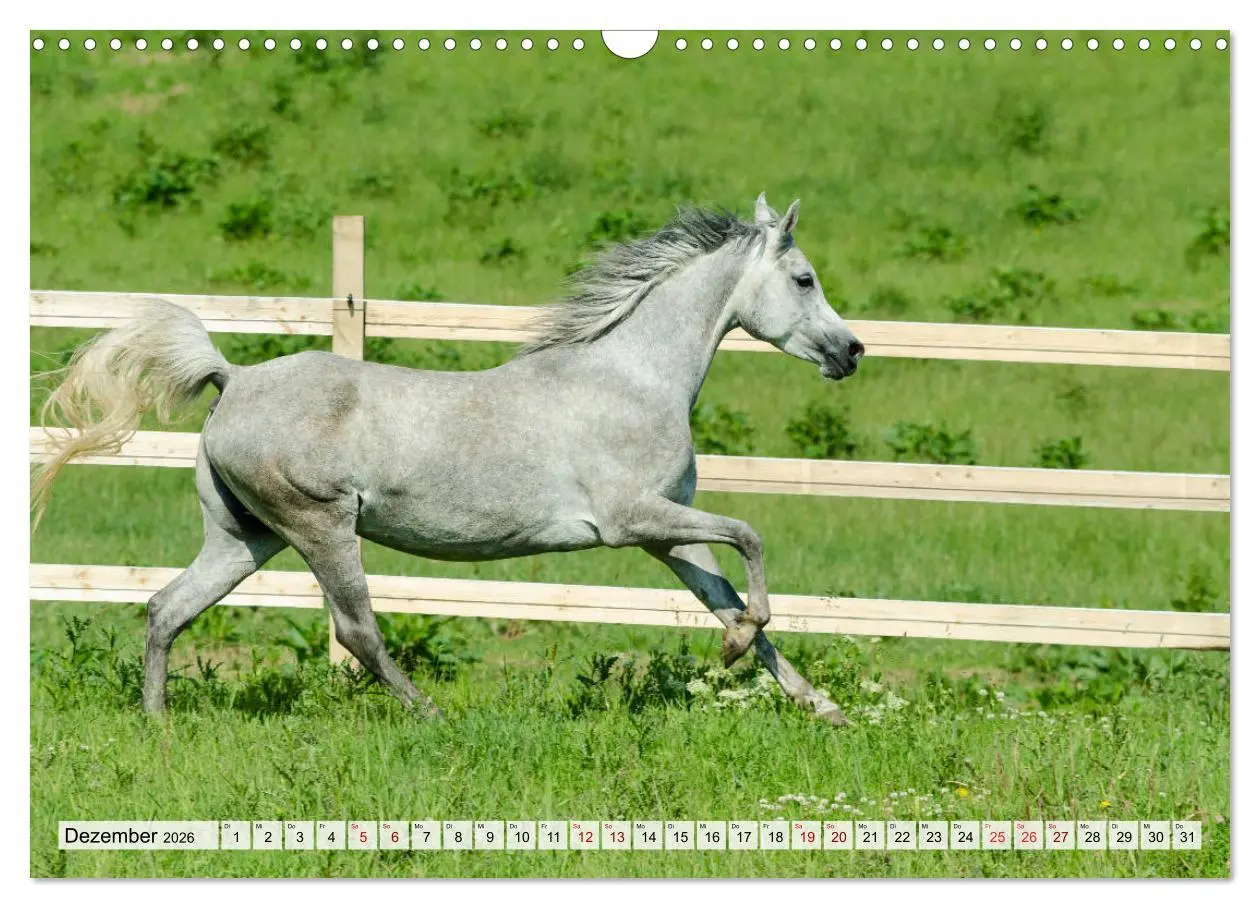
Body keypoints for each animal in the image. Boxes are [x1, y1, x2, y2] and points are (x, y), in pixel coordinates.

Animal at [33, 193, 865, 725]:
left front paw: (820, 705)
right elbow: (752, 540)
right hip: (320, 527)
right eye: (804, 279)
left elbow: (727, 597)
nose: (851, 352)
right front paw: (742, 649)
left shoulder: (668, 532)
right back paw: (431, 717)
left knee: (167, 608)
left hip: (246, 537)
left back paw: (158, 725)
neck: (631, 376)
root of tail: (232, 378)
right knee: (356, 630)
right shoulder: (634, 520)